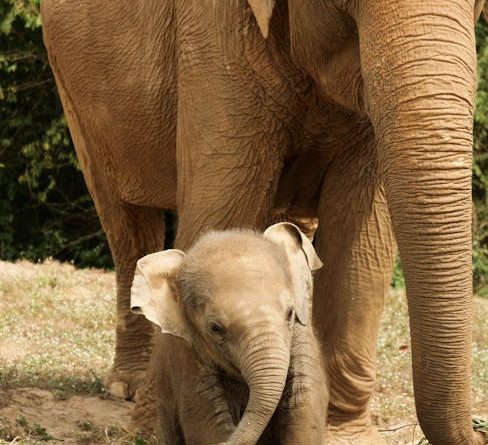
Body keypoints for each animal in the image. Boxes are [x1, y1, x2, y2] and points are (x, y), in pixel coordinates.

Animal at [129, 223, 327, 445]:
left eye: (290, 313)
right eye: (215, 328)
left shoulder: (303, 335)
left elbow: (305, 404)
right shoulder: (186, 353)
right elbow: (206, 420)